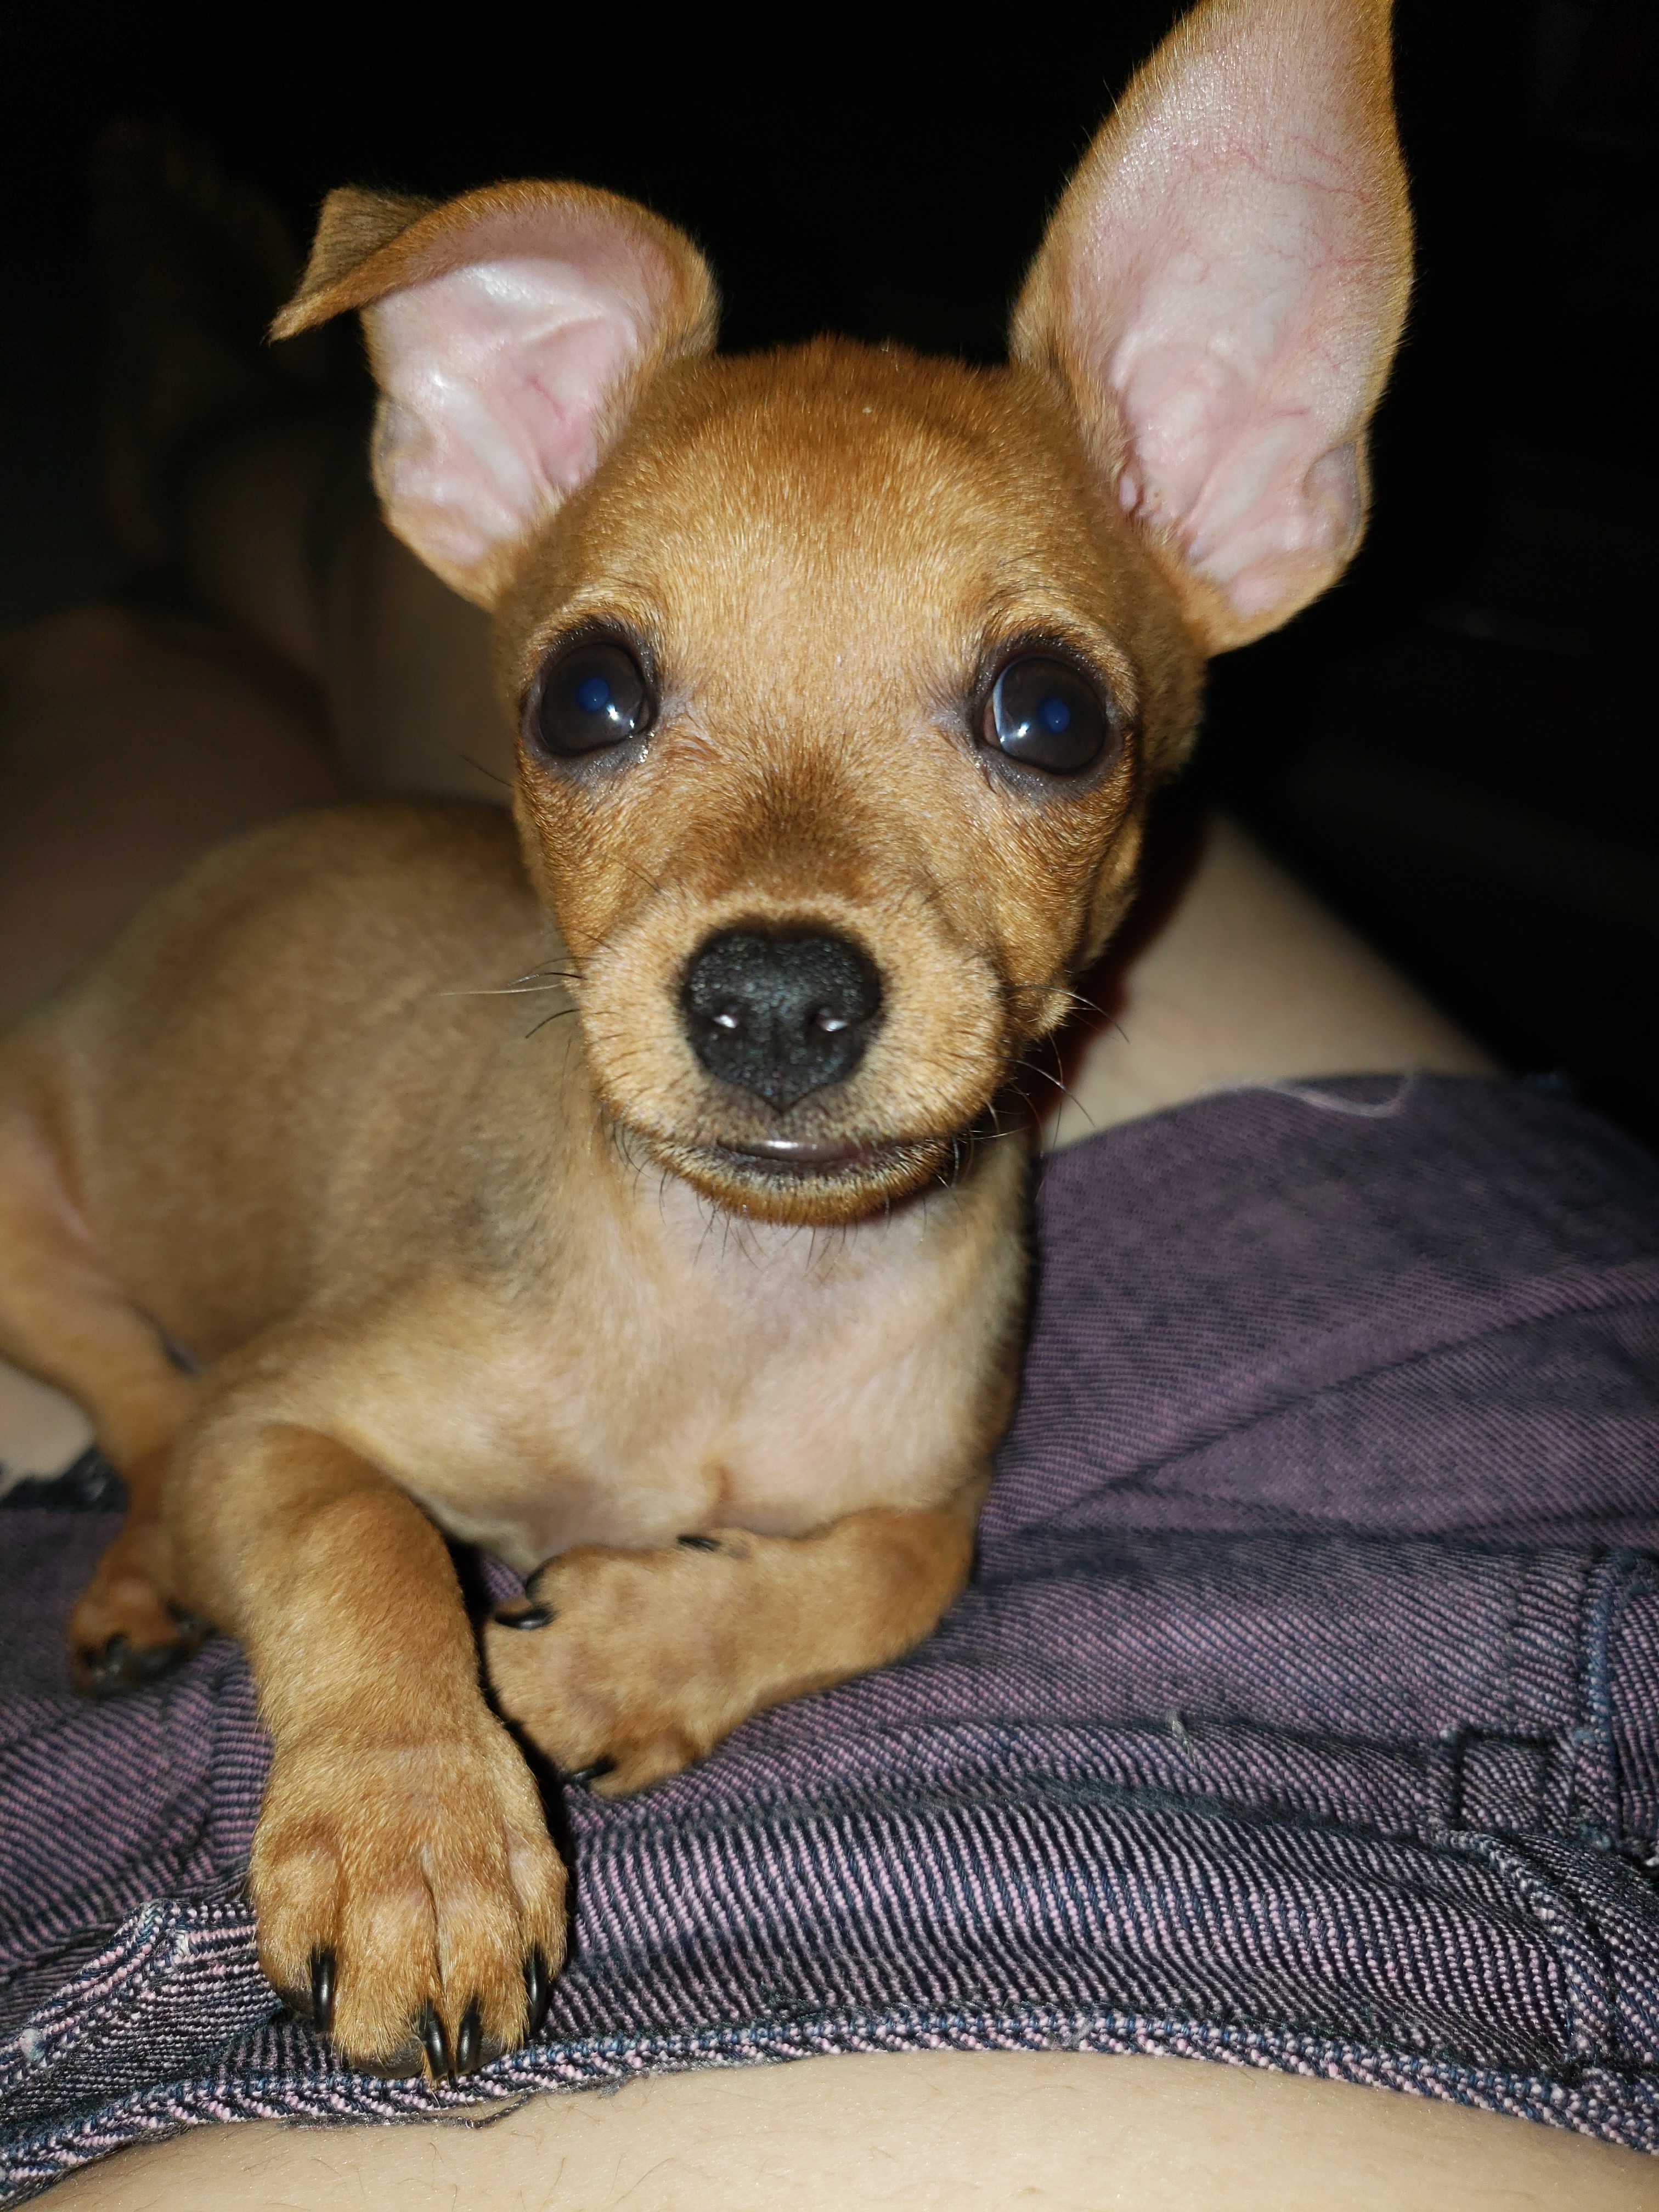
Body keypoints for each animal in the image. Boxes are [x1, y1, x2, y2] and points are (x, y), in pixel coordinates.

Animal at [0, 0, 1409, 2077]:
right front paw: (417, 1834)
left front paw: (626, 1652)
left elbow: (907, 1569)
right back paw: (140, 1572)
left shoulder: (927, 1483)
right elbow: (357, 1541)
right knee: (141, 1401)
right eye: (585, 697)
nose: (775, 1001)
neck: (736, 1309)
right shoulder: (290, 1415)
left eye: (1054, 716)